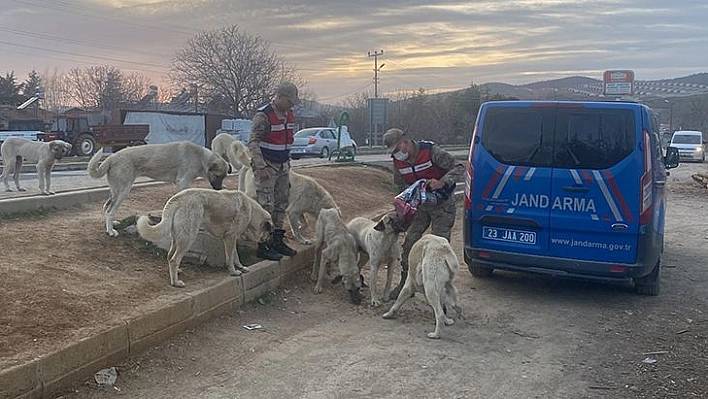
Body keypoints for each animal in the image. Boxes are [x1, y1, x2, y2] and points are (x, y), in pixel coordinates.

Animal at [85, 141, 230, 238]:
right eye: (218, 176)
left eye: (224, 176)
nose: (219, 188)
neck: (200, 157)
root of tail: (112, 157)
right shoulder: (182, 182)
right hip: (123, 191)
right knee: (110, 210)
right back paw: (111, 231)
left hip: (115, 191)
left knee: (106, 207)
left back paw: (111, 225)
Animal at [136, 189, 274, 290]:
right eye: (270, 234)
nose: (270, 246)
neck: (251, 210)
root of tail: (178, 198)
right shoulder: (230, 238)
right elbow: (230, 258)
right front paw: (233, 272)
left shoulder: (232, 239)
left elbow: (235, 256)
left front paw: (241, 267)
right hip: (188, 238)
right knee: (174, 259)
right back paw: (175, 282)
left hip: (178, 239)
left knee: (170, 256)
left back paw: (177, 272)